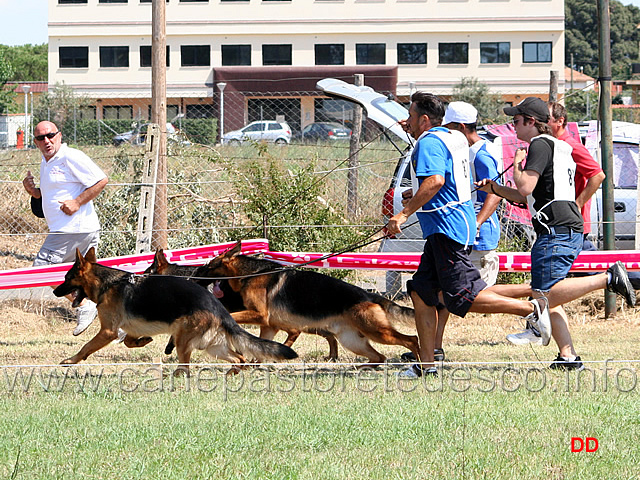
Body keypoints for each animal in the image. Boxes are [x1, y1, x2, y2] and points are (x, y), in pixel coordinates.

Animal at [52, 248, 298, 372]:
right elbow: (130, 341)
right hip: (212, 346)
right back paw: (232, 373)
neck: (108, 283)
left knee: (185, 366)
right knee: (239, 358)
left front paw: (71, 361)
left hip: (185, 341)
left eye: (66, 278)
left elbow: (86, 347)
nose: (55, 291)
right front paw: (144, 341)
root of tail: (218, 308)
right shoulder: (128, 328)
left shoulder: (107, 331)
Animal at [199, 244, 420, 364]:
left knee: (412, 339)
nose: (196, 275)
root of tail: (367, 295)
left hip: (377, 331)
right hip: (353, 338)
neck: (253, 273)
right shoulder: (269, 326)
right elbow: (264, 344)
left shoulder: (260, 315)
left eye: (209, 265)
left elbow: (233, 316)